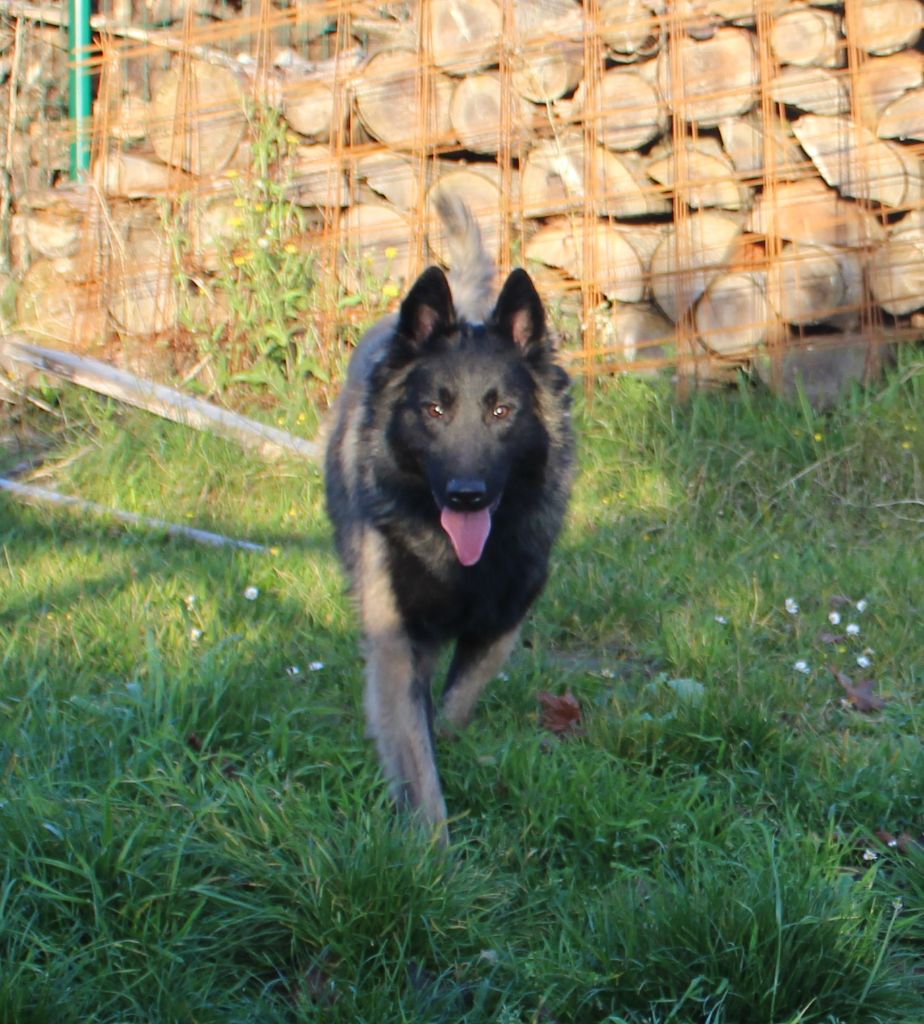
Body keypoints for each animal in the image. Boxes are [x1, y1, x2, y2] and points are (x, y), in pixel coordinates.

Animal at [321, 193, 573, 839]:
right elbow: (416, 754)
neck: (456, 559)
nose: (466, 496)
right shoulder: (396, 643)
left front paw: (453, 742)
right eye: (434, 410)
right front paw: (432, 848)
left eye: (502, 411)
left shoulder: (501, 623)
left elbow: (457, 702)